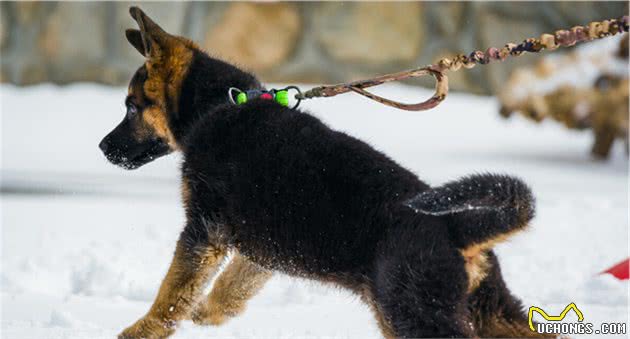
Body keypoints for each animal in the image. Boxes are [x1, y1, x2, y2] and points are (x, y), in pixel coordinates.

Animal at [101, 6, 544, 338]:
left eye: (131, 107)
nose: (103, 148)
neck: (220, 106)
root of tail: (457, 229)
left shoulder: (203, 230)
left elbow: (171, 295)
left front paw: (138, 332)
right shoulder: (260, 246)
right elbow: (231, 287)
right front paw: (207, 316)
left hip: (413, 310)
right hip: (490, 311)